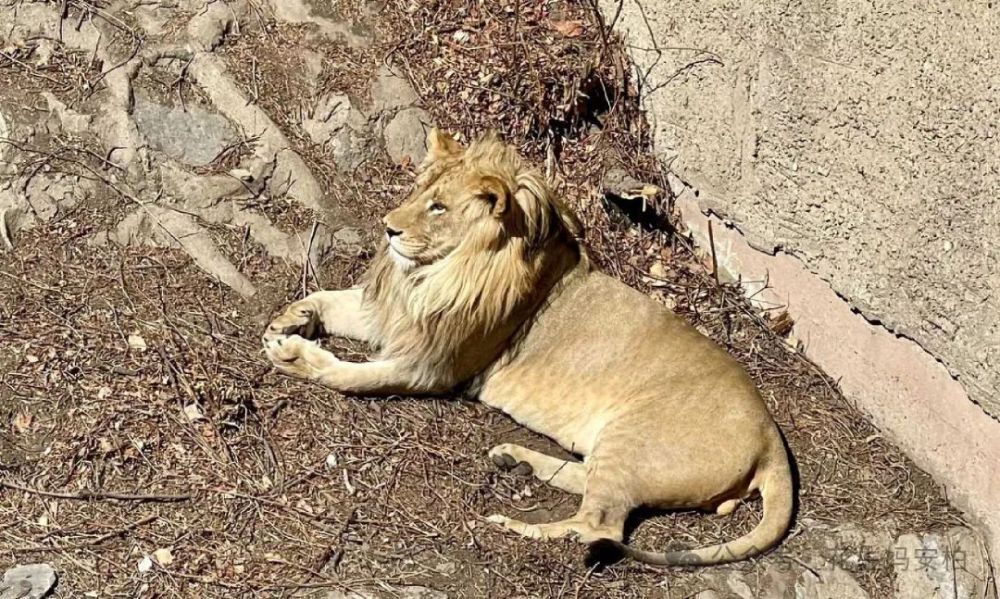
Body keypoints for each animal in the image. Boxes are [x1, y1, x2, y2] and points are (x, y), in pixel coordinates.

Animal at [262, 129, 792, 564]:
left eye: (439, 207)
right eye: (418, 193)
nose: (388, 227)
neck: (436, 276)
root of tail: (771, 438)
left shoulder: (431, 366)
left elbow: (350, 375)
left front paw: (294, 355)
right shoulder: (397, 318)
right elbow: (330, 299)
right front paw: (292, 318)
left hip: (635, 439)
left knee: (598, 527)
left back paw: (512, 525)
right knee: (587, 483)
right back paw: (514, 459)